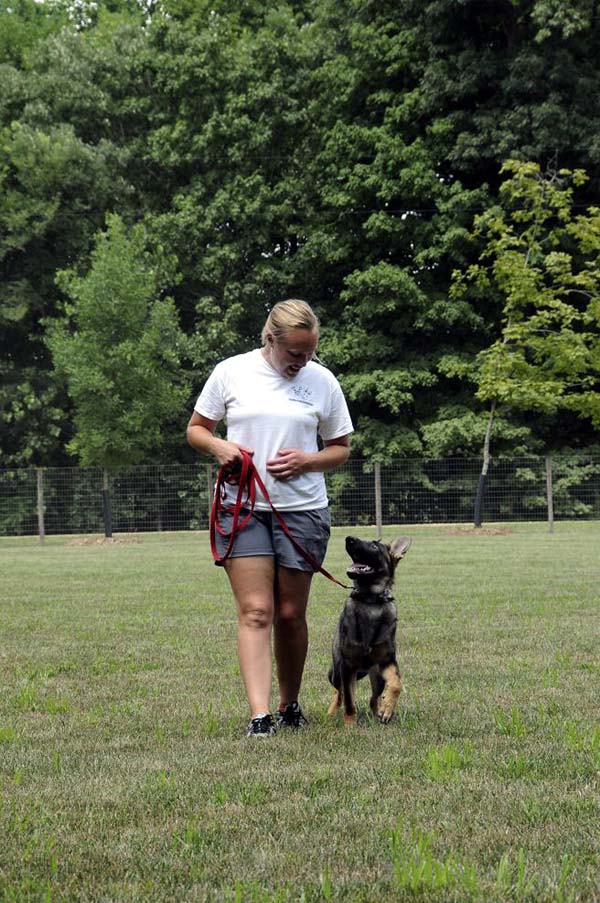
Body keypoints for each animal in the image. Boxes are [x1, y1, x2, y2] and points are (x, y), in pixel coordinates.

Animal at [326, 536, 410, 728]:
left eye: (374, 545)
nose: (349, 539)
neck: (371, 600)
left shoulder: (387, 661)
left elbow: (397, 684)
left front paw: (387, 709)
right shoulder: (347, 666)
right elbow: (349, 701)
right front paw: (350, 724)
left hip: (377, 676)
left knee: (373, 699)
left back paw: (379, 710)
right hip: (337, 671)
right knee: (339, 693)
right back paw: (332, 712)